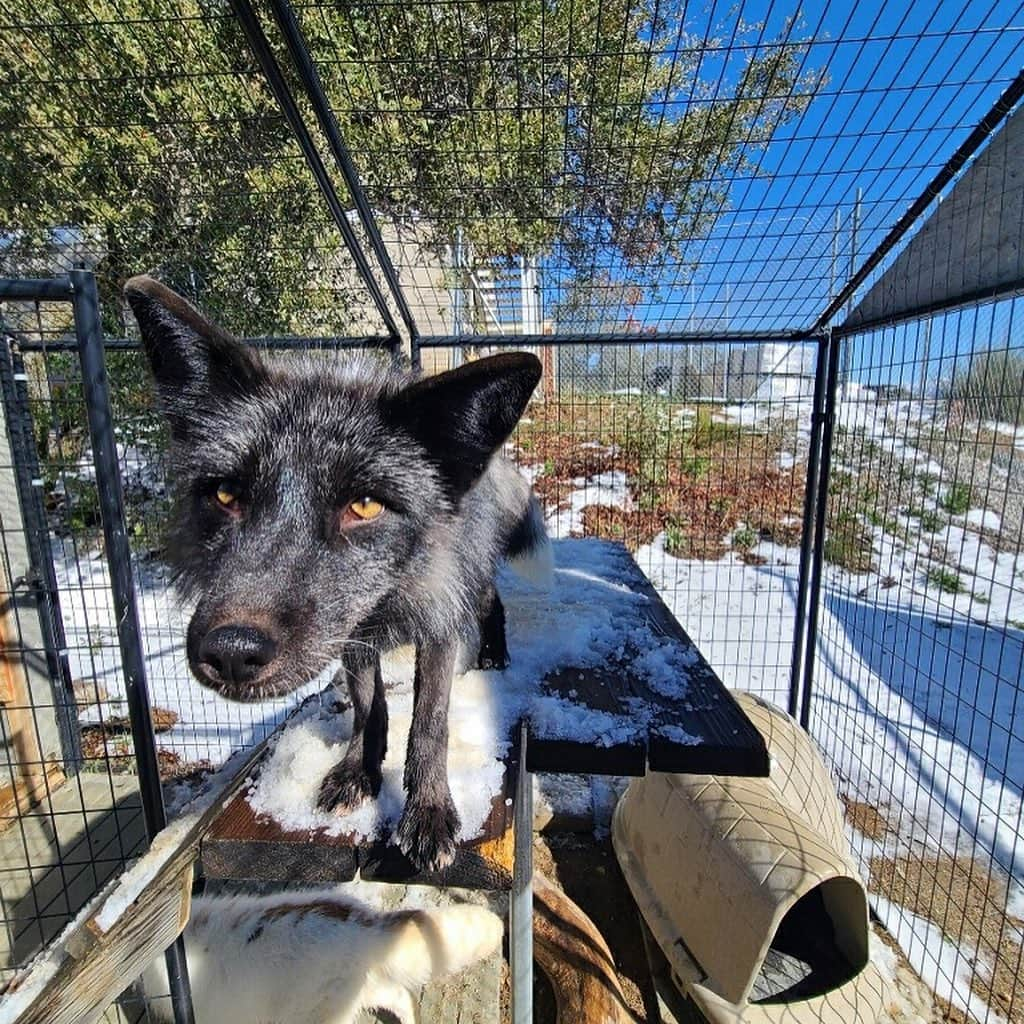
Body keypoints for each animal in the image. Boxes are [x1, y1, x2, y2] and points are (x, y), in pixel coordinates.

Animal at [126, 276, 552, 868]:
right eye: (226, 494)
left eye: (366, 506)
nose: (232, 652)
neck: (387, 603)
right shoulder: (351, 632)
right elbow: (370, 706)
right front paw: (360, 769)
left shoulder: (438, 616)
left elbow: (430, 723)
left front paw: (428, 810)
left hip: (470, 573)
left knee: (490, 602)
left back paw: (493, 654)